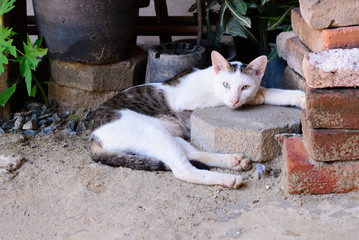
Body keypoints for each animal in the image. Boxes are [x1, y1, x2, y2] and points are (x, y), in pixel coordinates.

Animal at [88, 51, 306, 188]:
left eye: (244, 87)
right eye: (226, 84)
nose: (235, 99)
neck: (210, 78)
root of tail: (94, 135)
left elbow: (273, 91)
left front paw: (300, 97)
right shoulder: (185, 99)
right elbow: (220, 98)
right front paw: (257, 97)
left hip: (167, 135)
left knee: (191, 153)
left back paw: (232, 161)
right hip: (151, 132)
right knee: (183, 169)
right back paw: (227, 179)